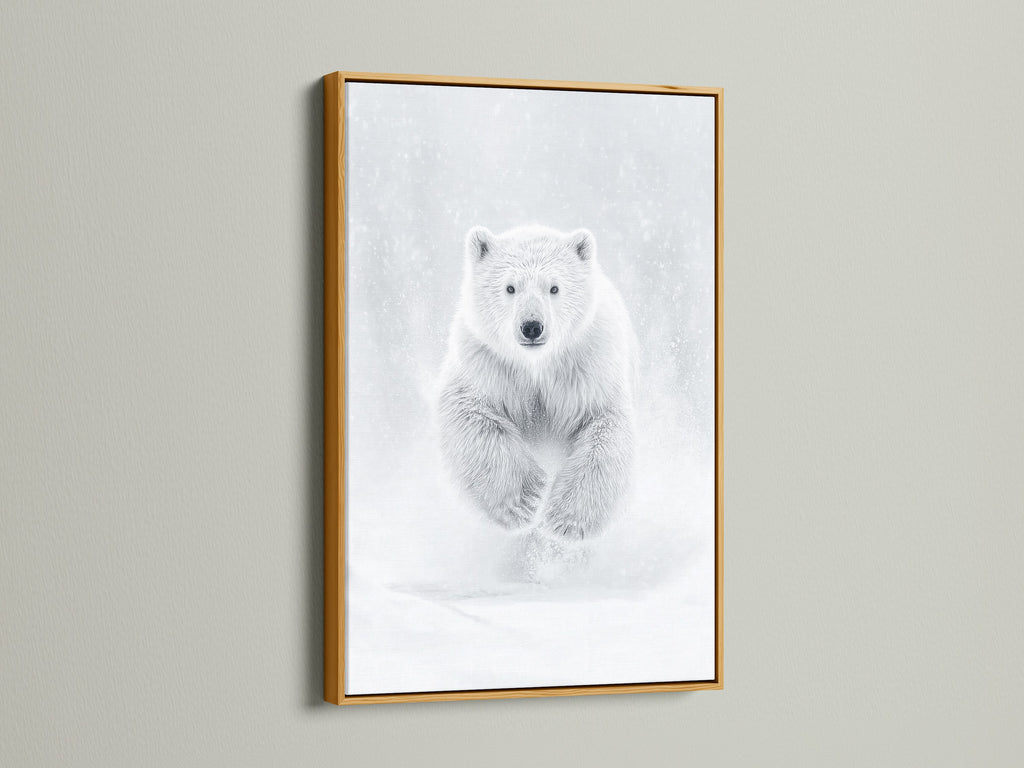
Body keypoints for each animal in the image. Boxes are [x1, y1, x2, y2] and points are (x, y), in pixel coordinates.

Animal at [438, 225, 637, 541]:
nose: (532, 326)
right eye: (510, 287)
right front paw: (525, 501)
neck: (536, 365)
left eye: (554, 287)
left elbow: (605, 427)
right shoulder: (487, 363)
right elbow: (469, 413)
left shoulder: (587, 366)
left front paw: (566, 521)